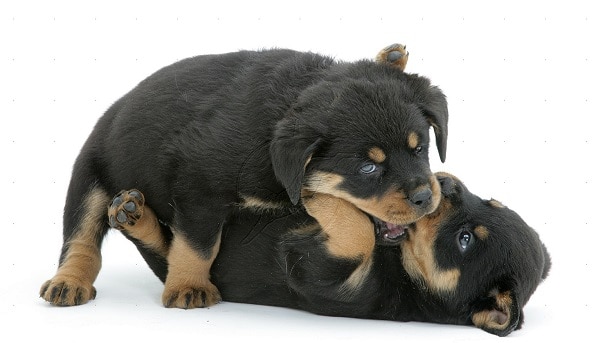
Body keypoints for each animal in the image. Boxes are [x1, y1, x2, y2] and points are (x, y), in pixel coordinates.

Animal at [39, 43, 446, 310]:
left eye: (420, 148)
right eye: (367, 168)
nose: (426, 198)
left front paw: (389, 62)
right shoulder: (199, 189)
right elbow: (198, 245)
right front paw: (188, 287)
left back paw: (133, 215)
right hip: (88, 175)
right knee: (80, 239)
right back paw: (68, 283)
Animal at [101, 173, 552, 338]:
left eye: (465, 240)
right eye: (490, 200)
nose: (449, 183)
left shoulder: (328, 278)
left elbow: (358, 235)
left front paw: (320, 191)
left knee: (165, 253)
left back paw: (133, 217)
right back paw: (132, 211)